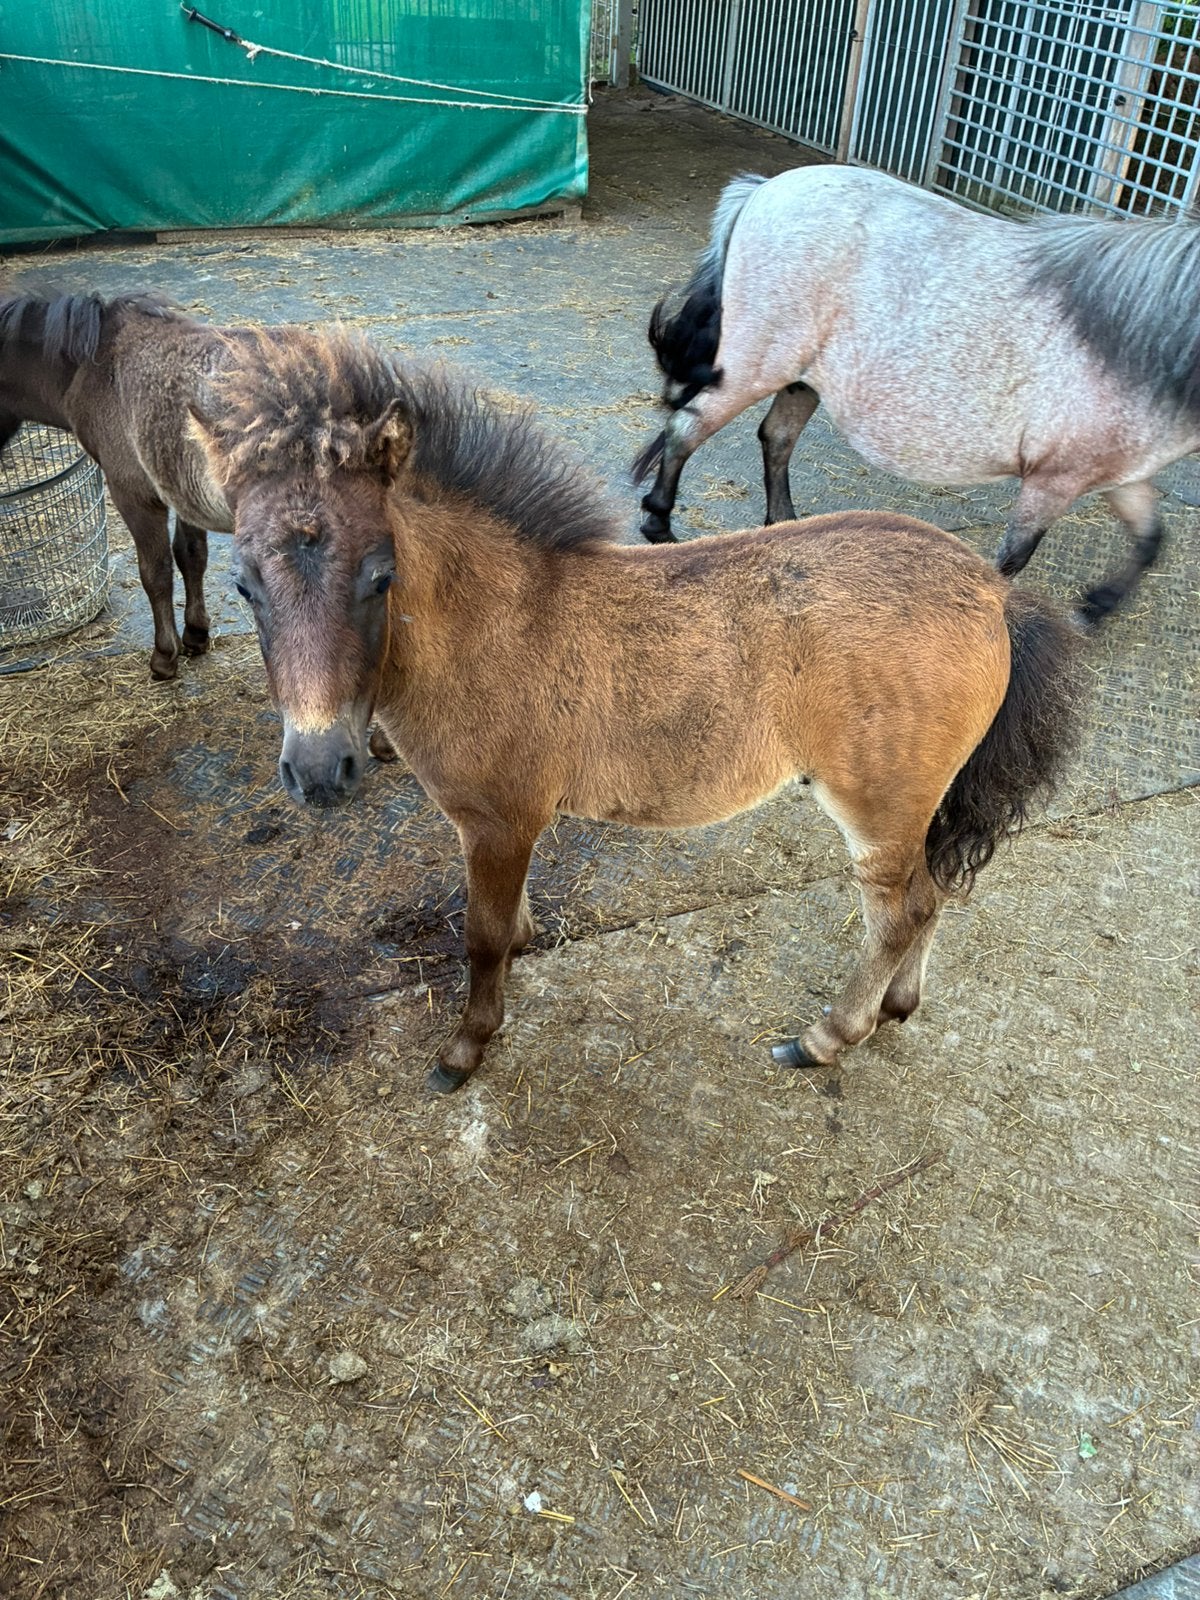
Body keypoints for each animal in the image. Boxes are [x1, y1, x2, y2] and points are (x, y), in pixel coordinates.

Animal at [0, 291, 233, 678]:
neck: (94, 367)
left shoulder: (134, 496)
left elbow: (155, 573)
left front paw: (164, 656)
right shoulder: (184, 498)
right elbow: (191, 555)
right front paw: (195, 634)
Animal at [190, 328, 1084, 1094]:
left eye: (380, 576)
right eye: (242, 584)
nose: (317, 772)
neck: (495, 624)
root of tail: (995, 592)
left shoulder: (499, 821)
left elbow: (480, 938)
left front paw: (466, 1048)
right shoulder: (503, 827)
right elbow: (506, 924)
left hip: (880, 804)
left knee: (899, 911)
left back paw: (826, 1037)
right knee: (933, 895)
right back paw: (897, 1007)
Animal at [633, 165, 1200, 626]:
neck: (1122, 340)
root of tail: (761, 190)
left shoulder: (1119, 476)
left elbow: (1151, 540)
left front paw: (1098, 606)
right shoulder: (1053, 482)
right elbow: (1011, 562)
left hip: (801, 380)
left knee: (775, 437)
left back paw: (787, 527)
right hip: (754, 368)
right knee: (686, 430)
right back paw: (659, 524)